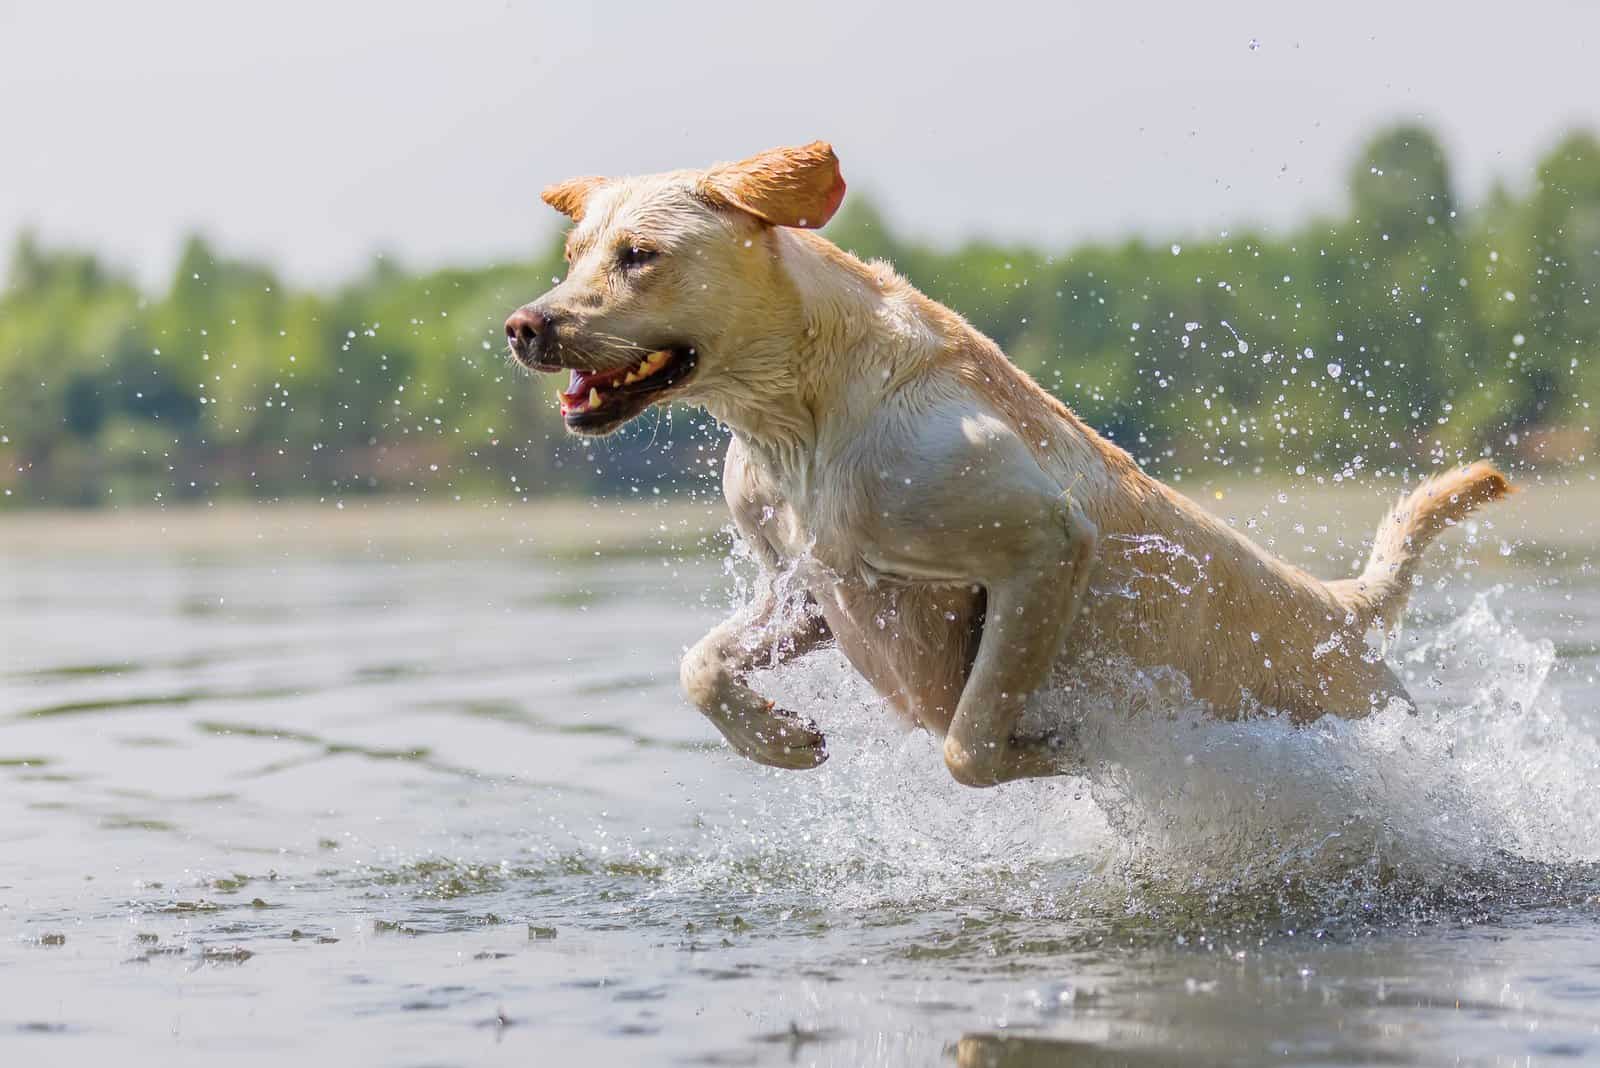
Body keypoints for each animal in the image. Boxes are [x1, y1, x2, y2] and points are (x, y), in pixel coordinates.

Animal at [502, 141, 1510, 783]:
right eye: (573, 254)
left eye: (640, 256)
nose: (522, 325)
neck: (803, 411)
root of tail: (1342, 608)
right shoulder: (806, 586)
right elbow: (701, 665)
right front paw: (777, 738)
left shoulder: (1042, 547)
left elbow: (967, 740)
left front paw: (1063, 750)